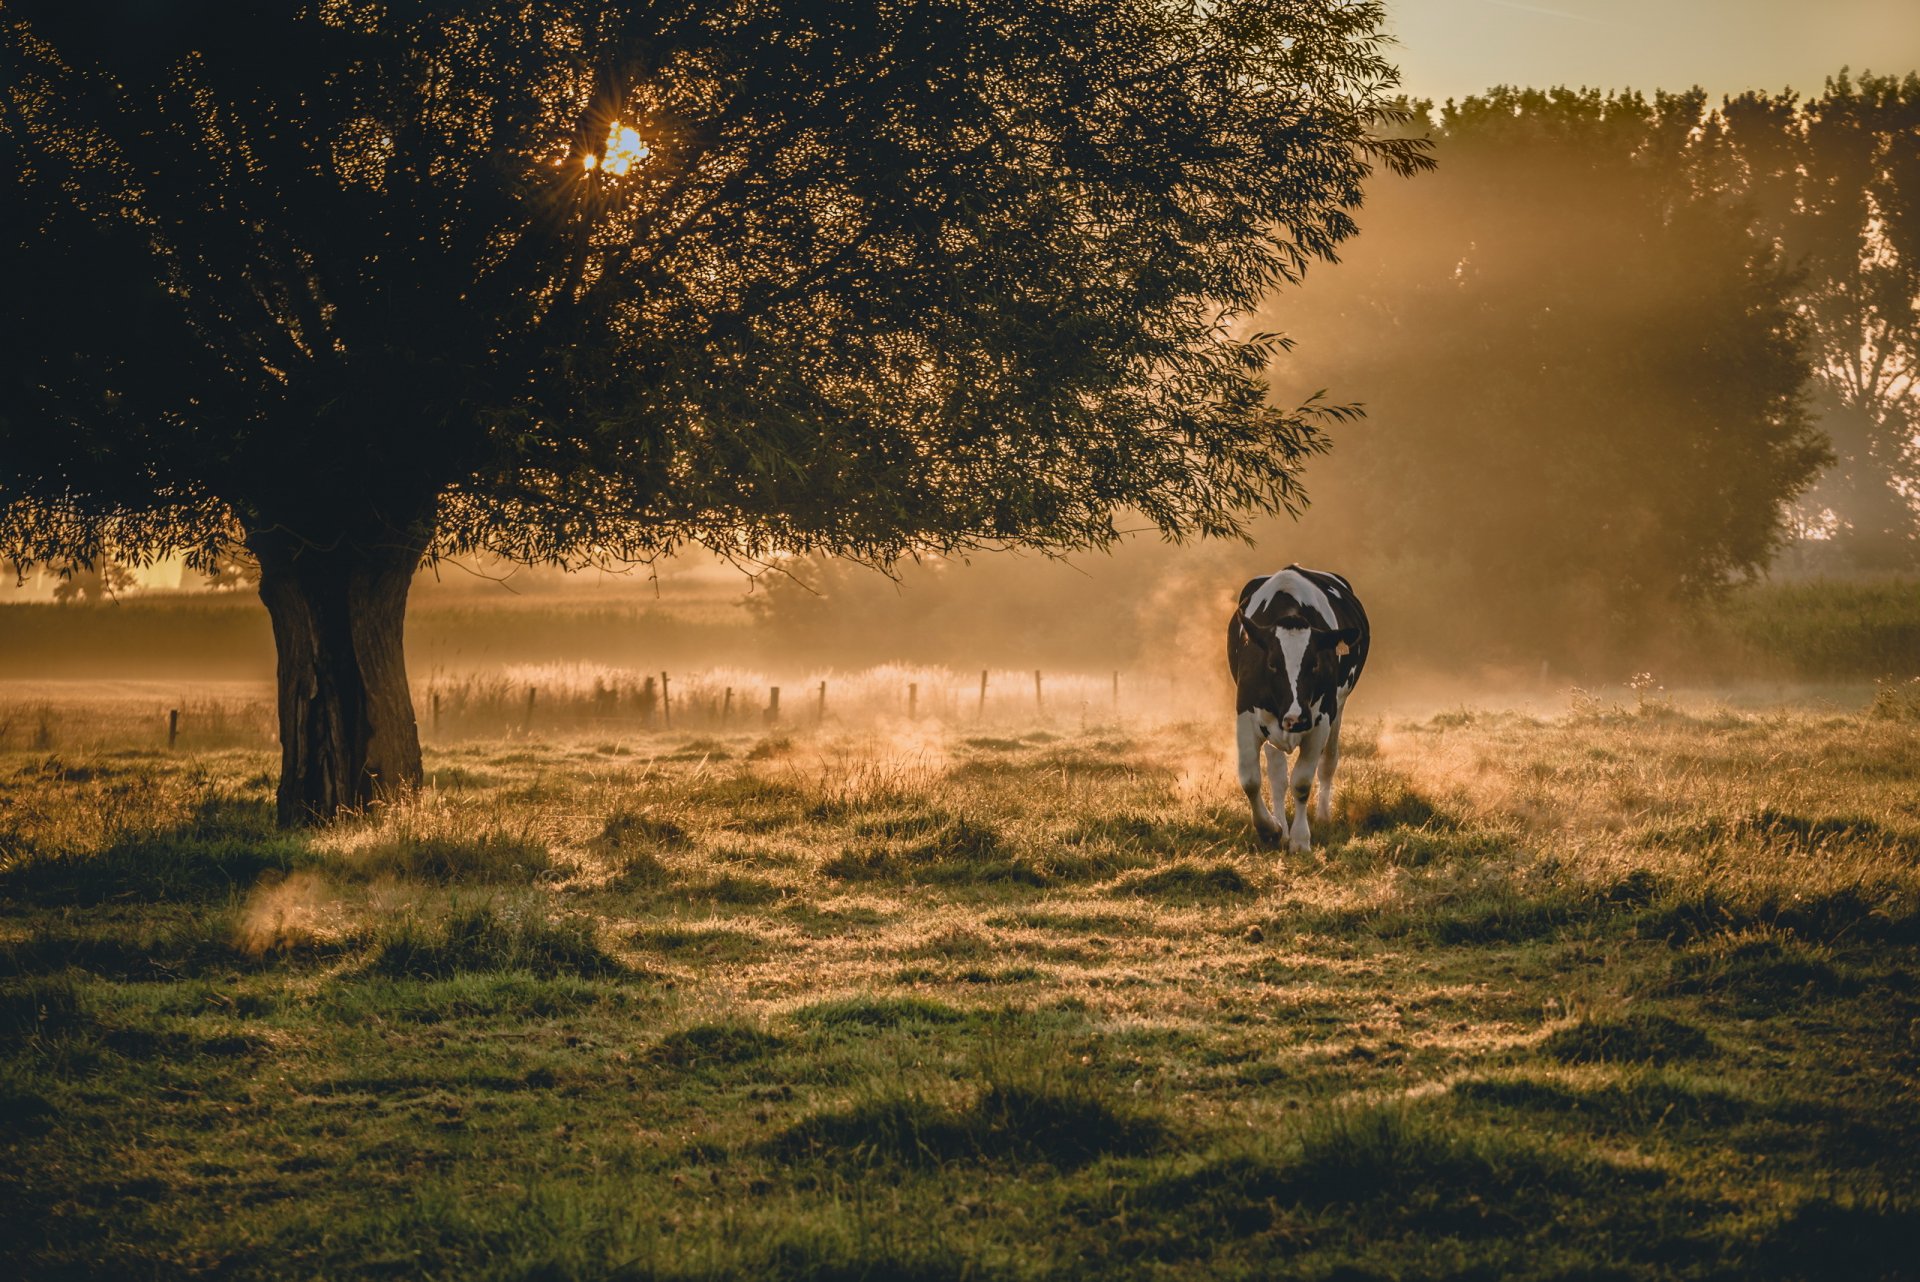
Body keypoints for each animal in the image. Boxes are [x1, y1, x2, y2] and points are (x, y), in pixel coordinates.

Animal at [1228, 568, 1367, 852]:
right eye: (1272, 664)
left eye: (1314, 664)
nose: (1296, 718)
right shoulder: (1245, 715)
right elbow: (1251, 780)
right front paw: (1270, 829)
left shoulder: (1321, 721)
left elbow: (1302, 783)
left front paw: (1301, 840)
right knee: (1278, 777)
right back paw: (1281, 825)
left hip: (1339, 708)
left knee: (1328, 762)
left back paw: (1322, 816)